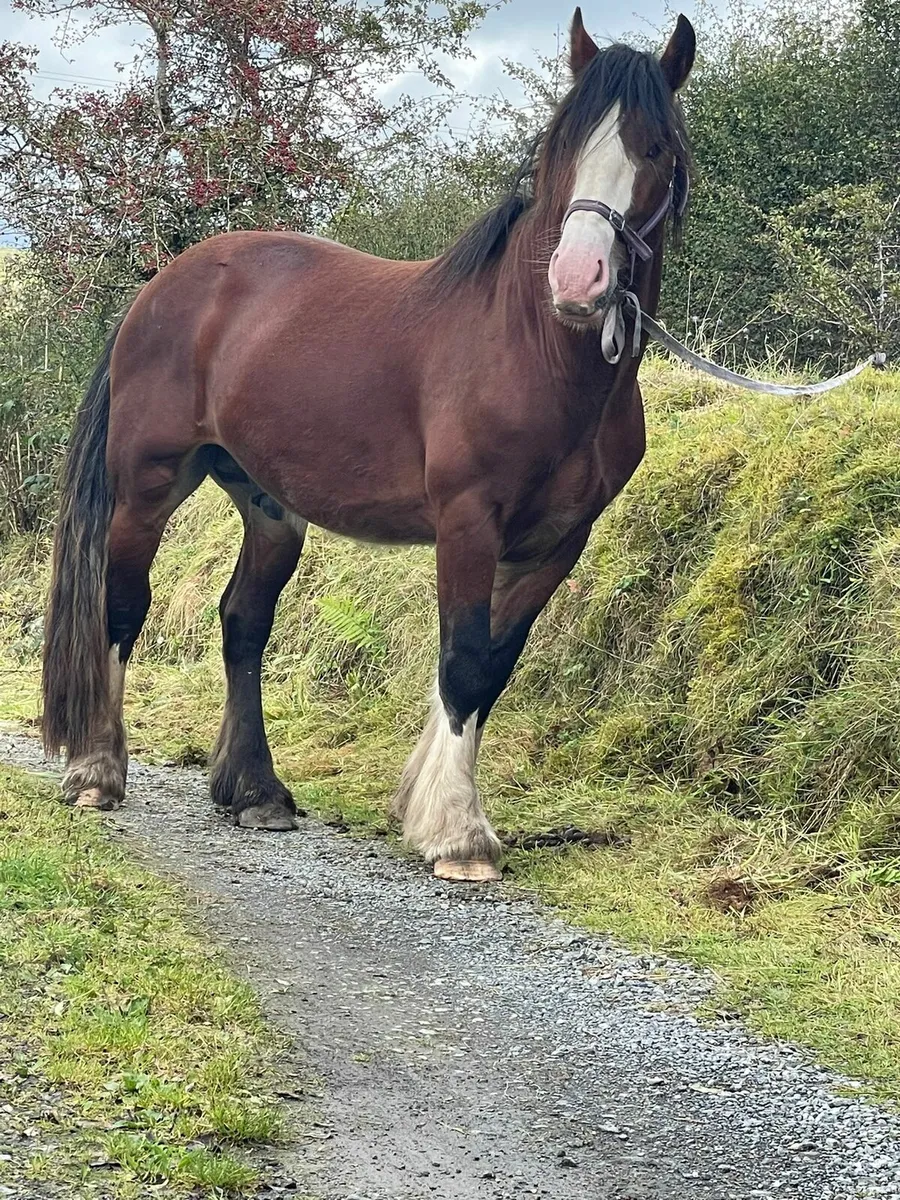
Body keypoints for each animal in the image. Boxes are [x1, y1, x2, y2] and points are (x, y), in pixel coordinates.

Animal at [41, 9, 695, 883]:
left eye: (655, 148)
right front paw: (457, 834)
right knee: (122, 605)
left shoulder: (559, 542)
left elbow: (494, 665)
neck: (536, 355)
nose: (578, 280)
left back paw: (256, 793)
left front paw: (431, 806)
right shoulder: (468, 523)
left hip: (268, 505)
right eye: (560, 144)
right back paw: (97, 771)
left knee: (243, 621)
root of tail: (166, 284)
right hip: (148, 484)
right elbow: (462, 658)